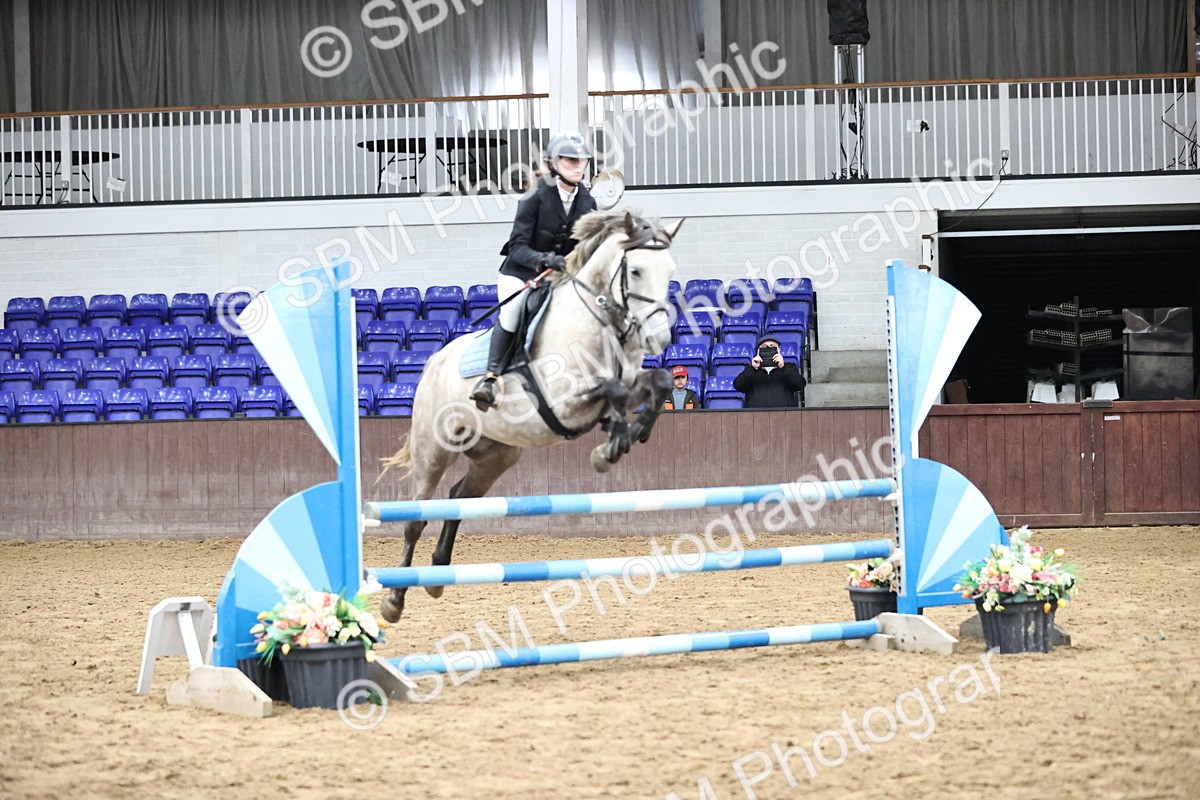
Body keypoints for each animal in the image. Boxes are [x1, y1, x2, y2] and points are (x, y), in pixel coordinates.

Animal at [378, 209, 683, 623]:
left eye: (670, 270)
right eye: (635, 271)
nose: (659, 338)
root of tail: (433, 362)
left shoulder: (626, 383)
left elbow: (659, 382)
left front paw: (620, 441)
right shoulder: (562, 402)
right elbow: (614, 392)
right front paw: (610, 447)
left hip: (497, 455)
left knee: (458, 498)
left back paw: (439, 575)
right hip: (433, 450)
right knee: (416, 518)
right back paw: (394, 600)